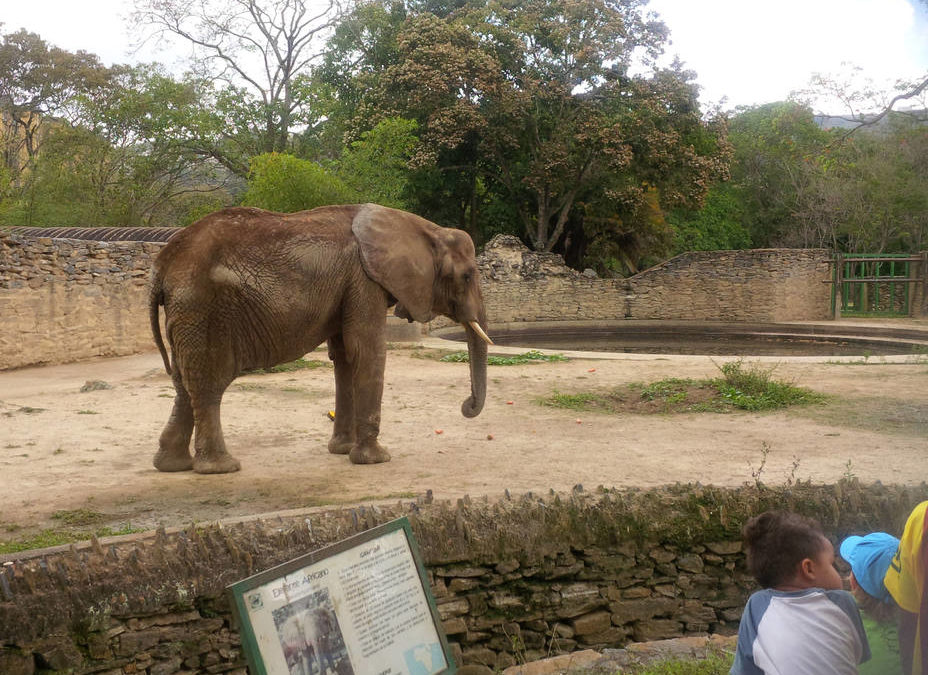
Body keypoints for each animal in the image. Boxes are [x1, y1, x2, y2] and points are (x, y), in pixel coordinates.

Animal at [148, 203, 490, 472]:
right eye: (467, 276)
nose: (466, 406)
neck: (423, 227)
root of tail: (161, 267)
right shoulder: (363, 280)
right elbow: (367, 350)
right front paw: (375, 459)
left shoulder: (350, 285)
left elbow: (344, 357)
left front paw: (342, 450)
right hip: (205, 309)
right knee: (209, 384)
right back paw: (221, 467)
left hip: (187, 312)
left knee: (183, 383)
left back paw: (172, 465)